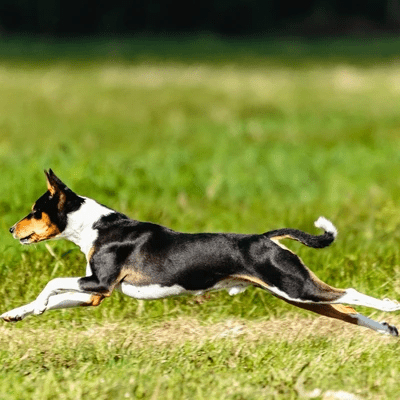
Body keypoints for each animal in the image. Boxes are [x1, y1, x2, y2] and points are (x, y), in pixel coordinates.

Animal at [3, 170, 400, 336]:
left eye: (34, 211)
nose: (10, 230)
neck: (95, 226)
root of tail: (266, 238)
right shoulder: (95, 294)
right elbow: (55, 298)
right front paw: (18, 313)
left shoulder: (99, 282)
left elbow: (52, 283)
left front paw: (35, 306)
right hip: (296, 294)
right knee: (347, 310)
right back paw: (386, 330)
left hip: (296, 288)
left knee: (351, 294)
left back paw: (391, 306)